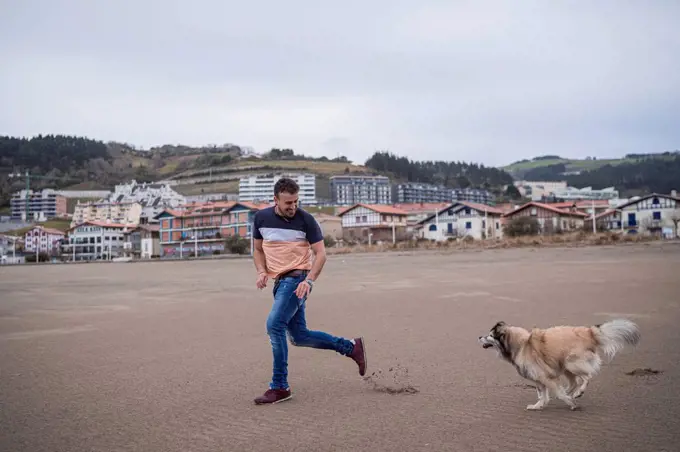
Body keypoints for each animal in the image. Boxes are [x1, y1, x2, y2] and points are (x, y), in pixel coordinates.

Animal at [480, 318, 640, 410]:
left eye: (490, 335)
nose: (479, 336)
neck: (523, 345)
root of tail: (590, 332)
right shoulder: (540, 380)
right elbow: (543, 395)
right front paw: (538, 406)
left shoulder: (545, 377)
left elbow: (558, 392)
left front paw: (571, 403)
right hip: (565, 366)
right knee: (574, 382)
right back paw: (572, 392)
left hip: (571, 363)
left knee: (586, 377)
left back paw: (578, 392)